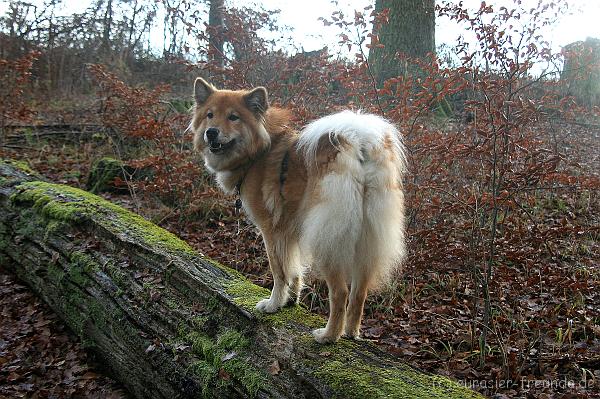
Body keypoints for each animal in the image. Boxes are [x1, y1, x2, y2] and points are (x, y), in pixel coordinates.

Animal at [191, 78, 408, 344]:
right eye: (209, 115)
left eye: (233, 117)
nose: (210, 132)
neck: (260, 150)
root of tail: (358, 141)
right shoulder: (290, 229)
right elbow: (294, 269)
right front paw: (291, 300)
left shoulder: (271, 230)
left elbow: (279, 271)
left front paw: (274, 304)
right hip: (367, 236)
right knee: (359, 292)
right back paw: (351, 332)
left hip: (327, 237)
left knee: (340, 292)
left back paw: (328, 336)